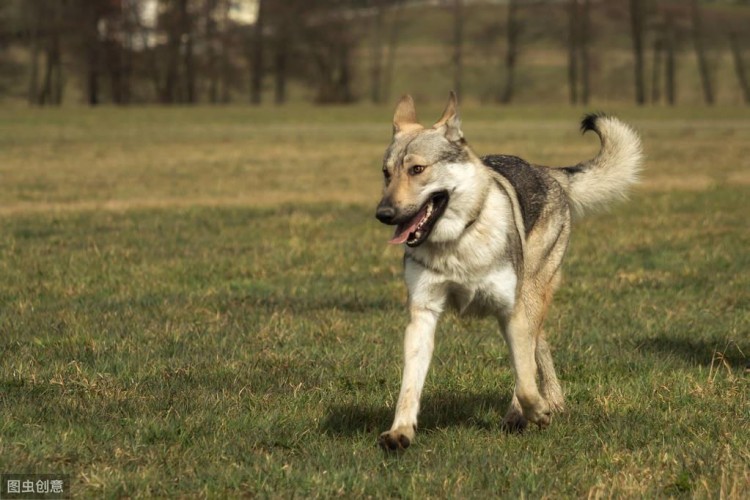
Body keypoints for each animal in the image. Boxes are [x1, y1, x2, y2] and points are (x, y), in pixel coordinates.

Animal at [374, 92, 644, 452]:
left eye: (417, 169)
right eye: (386, 173)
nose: (383, 214)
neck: (459, 242)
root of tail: (549, 172)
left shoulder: (510, 311)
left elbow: (525, 380)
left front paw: (535, 413)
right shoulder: (423, 313)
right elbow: (409, 386)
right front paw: (400, 432)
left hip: (531, 296)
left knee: (530, 357)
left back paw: (529, 412)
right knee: (540, 347)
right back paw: (551, 402)